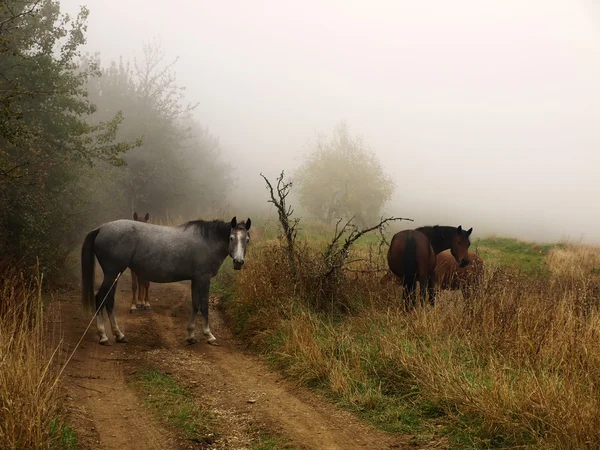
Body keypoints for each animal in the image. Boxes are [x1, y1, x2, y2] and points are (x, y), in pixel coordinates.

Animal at [81, 216, 250, 346]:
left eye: (247, 239)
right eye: (231, 238)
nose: (238, 262)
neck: (207, 241)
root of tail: (101, 228)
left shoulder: (195, 279)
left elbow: (195, 305)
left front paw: (191, 336)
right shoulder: (203, 278)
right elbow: (204, 306)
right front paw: (209, 336)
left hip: (114, 275)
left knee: (109, 301)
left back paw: (119, 335)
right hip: (112, 273)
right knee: (101, 298)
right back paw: (103, 336)